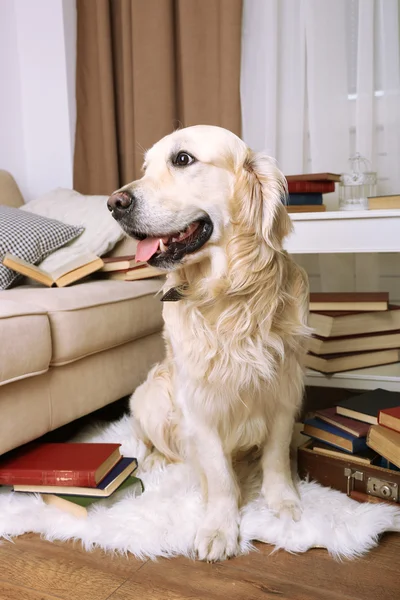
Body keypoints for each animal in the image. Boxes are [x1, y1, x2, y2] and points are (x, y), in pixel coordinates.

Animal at [108, 124, 310, 560]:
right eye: (145, 168)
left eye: (183, 159)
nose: (113, 203)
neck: (230, 297)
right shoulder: (199, 405)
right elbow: (219, 475)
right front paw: (219, 527)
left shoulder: (284, 391)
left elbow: (275, 456)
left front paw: (284, 502)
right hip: (151, 395)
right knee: (144, 440)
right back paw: (152, 462)